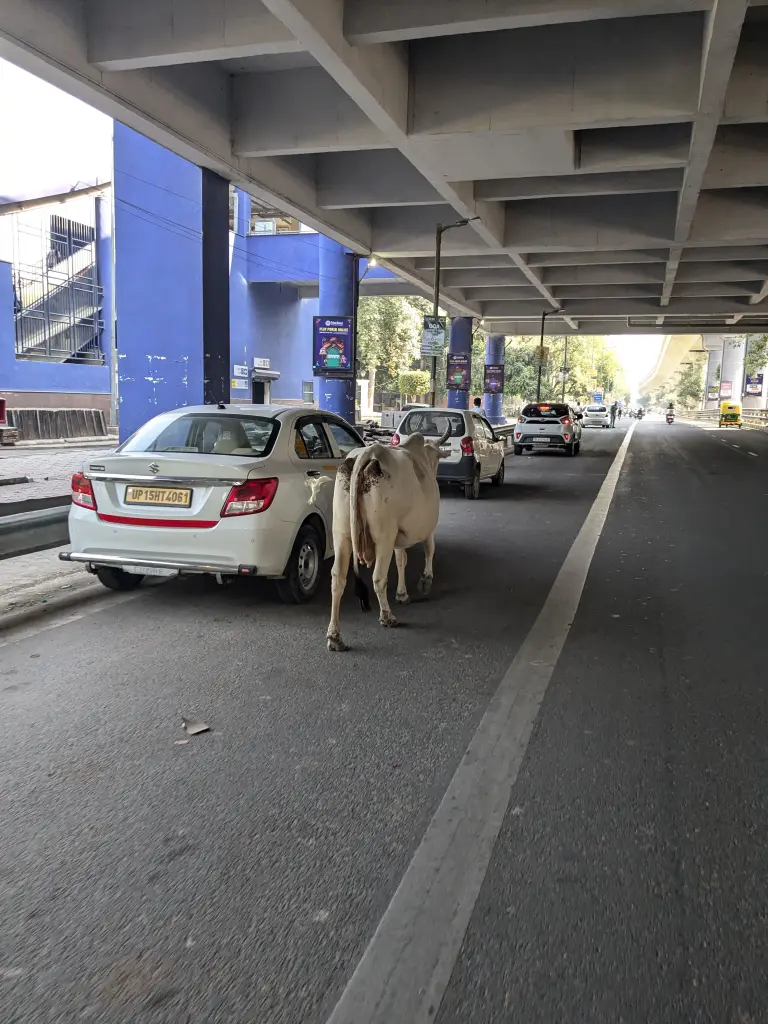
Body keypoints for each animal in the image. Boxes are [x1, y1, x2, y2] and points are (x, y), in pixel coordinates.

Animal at [325, 428, 450, 651]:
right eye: (436, 457)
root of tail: (368, 454)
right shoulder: (428, 528)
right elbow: (429, 549)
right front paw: (425, 580)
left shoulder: (398, 536)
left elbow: (401, 560)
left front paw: (402, 594)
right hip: (384, 534)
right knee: (378, 577)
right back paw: (387, 617)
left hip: (341, 532)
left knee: (338, 578)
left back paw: (334, 636)